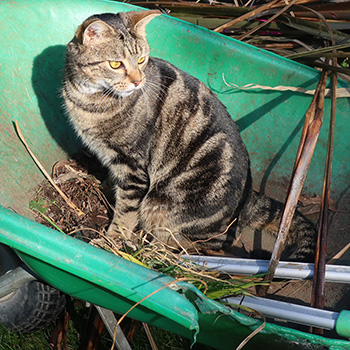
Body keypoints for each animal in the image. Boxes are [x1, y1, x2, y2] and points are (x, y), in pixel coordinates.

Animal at [62, 9, 318, 262]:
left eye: (142, 60)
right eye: (115, 64)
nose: (138, 81)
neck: (87, 98)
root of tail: (250, 202)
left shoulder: (132, 166)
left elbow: (126, 212)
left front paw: (111, 241)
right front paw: (104, 186)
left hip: (165, 209)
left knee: (191, 245)